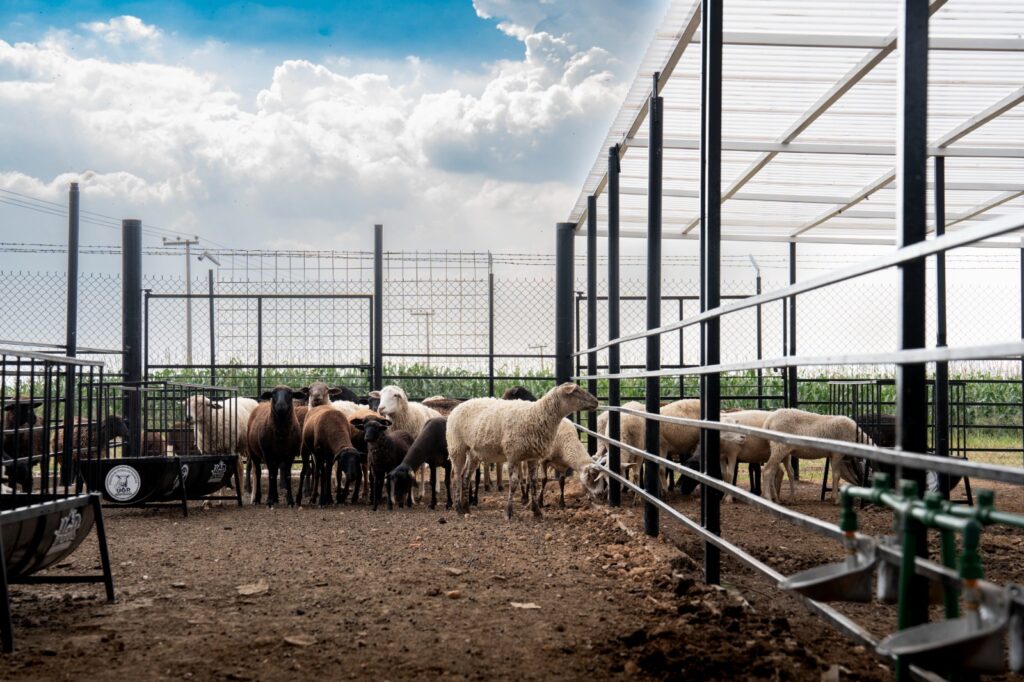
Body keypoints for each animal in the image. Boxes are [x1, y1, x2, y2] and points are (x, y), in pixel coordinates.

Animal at [446, 378, 598, 518]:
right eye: (576, 391)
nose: (596, 402)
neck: (537, 415)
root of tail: (459, 406)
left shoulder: (533, 457)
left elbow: (534, 482)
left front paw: (536, 511)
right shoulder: (513, 455)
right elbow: (513, 483)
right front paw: (508, 512)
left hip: (473, 452)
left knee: (466, 476)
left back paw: (466, 507)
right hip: (456, 446)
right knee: (456, 476)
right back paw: (458, 508)